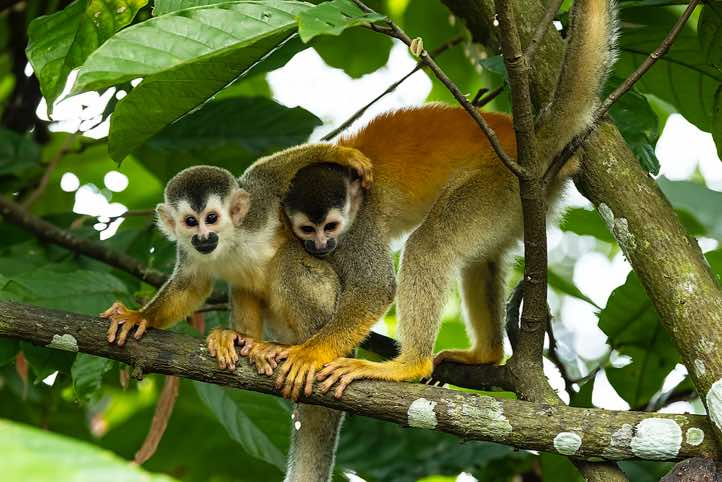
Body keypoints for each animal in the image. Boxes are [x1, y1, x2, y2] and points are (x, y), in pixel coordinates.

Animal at [238, 0, 618, 400]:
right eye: (308, 230)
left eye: (330, 226)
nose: (320, 245)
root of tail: (531, 145)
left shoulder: (359, 228)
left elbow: (376, 288)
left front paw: (308, 353)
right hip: (515, 201)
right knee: (481, 258)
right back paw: (486, 354)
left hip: (496, 183)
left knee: (430, 245)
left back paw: (409, 365)